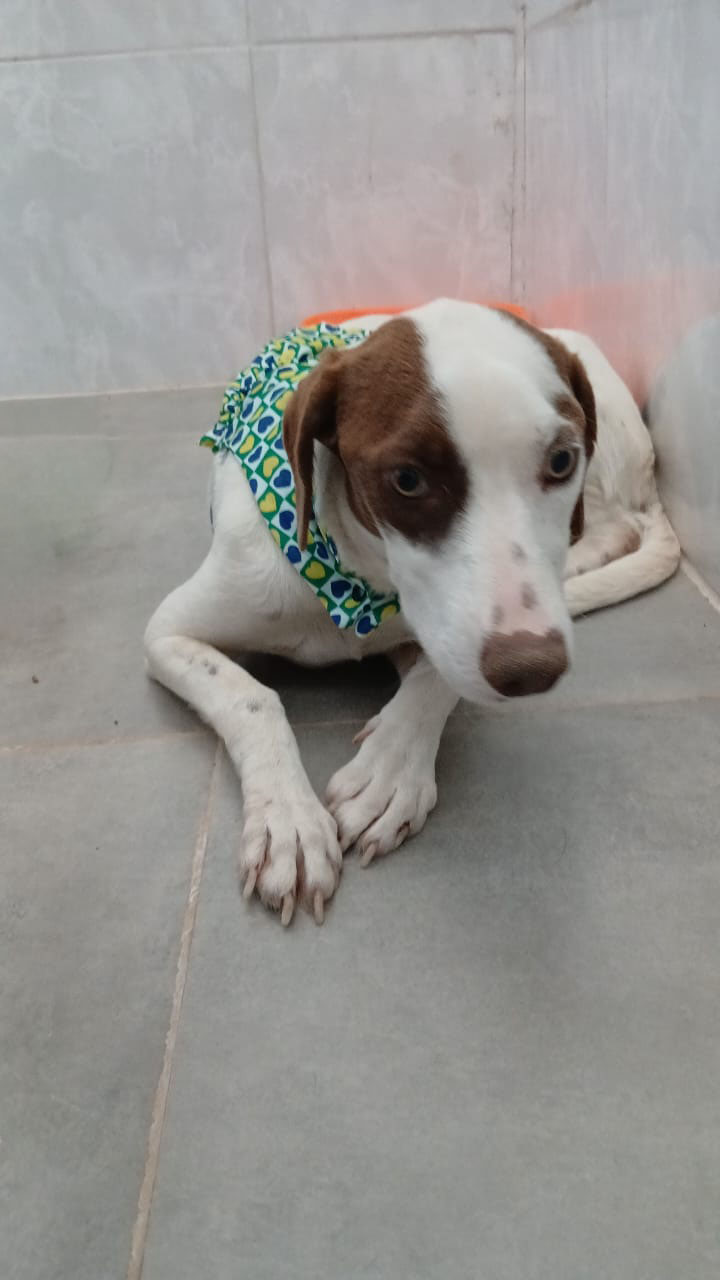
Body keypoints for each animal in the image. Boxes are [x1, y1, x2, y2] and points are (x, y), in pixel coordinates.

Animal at [145, 299, 680, 925]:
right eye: (406, 479)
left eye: (561, 460)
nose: (534, 670)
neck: (353, 585)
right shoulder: (169, 632)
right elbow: (251, 697)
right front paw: (289, 820)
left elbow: (435, 680)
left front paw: (390, 770)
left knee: (617, 526)